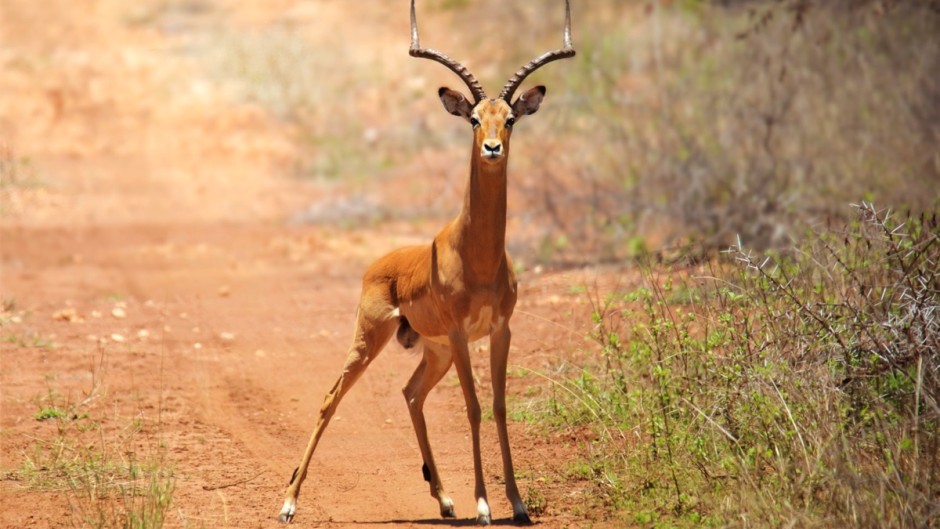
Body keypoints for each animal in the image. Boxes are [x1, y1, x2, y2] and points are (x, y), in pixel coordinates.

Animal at [278, 1, 575, 525]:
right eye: (473, 118)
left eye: (510, 119)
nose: (492, 148)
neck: (478, 258)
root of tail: (379, 263)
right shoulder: (459, 332)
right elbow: (474, 406)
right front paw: (484, 505)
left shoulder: (500, 329)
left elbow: (499, 406)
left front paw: (516, 504)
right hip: (373, 338)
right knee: (331, 397)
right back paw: (289, 504)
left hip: (432, 351)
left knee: (411, 393)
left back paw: (445, 498)